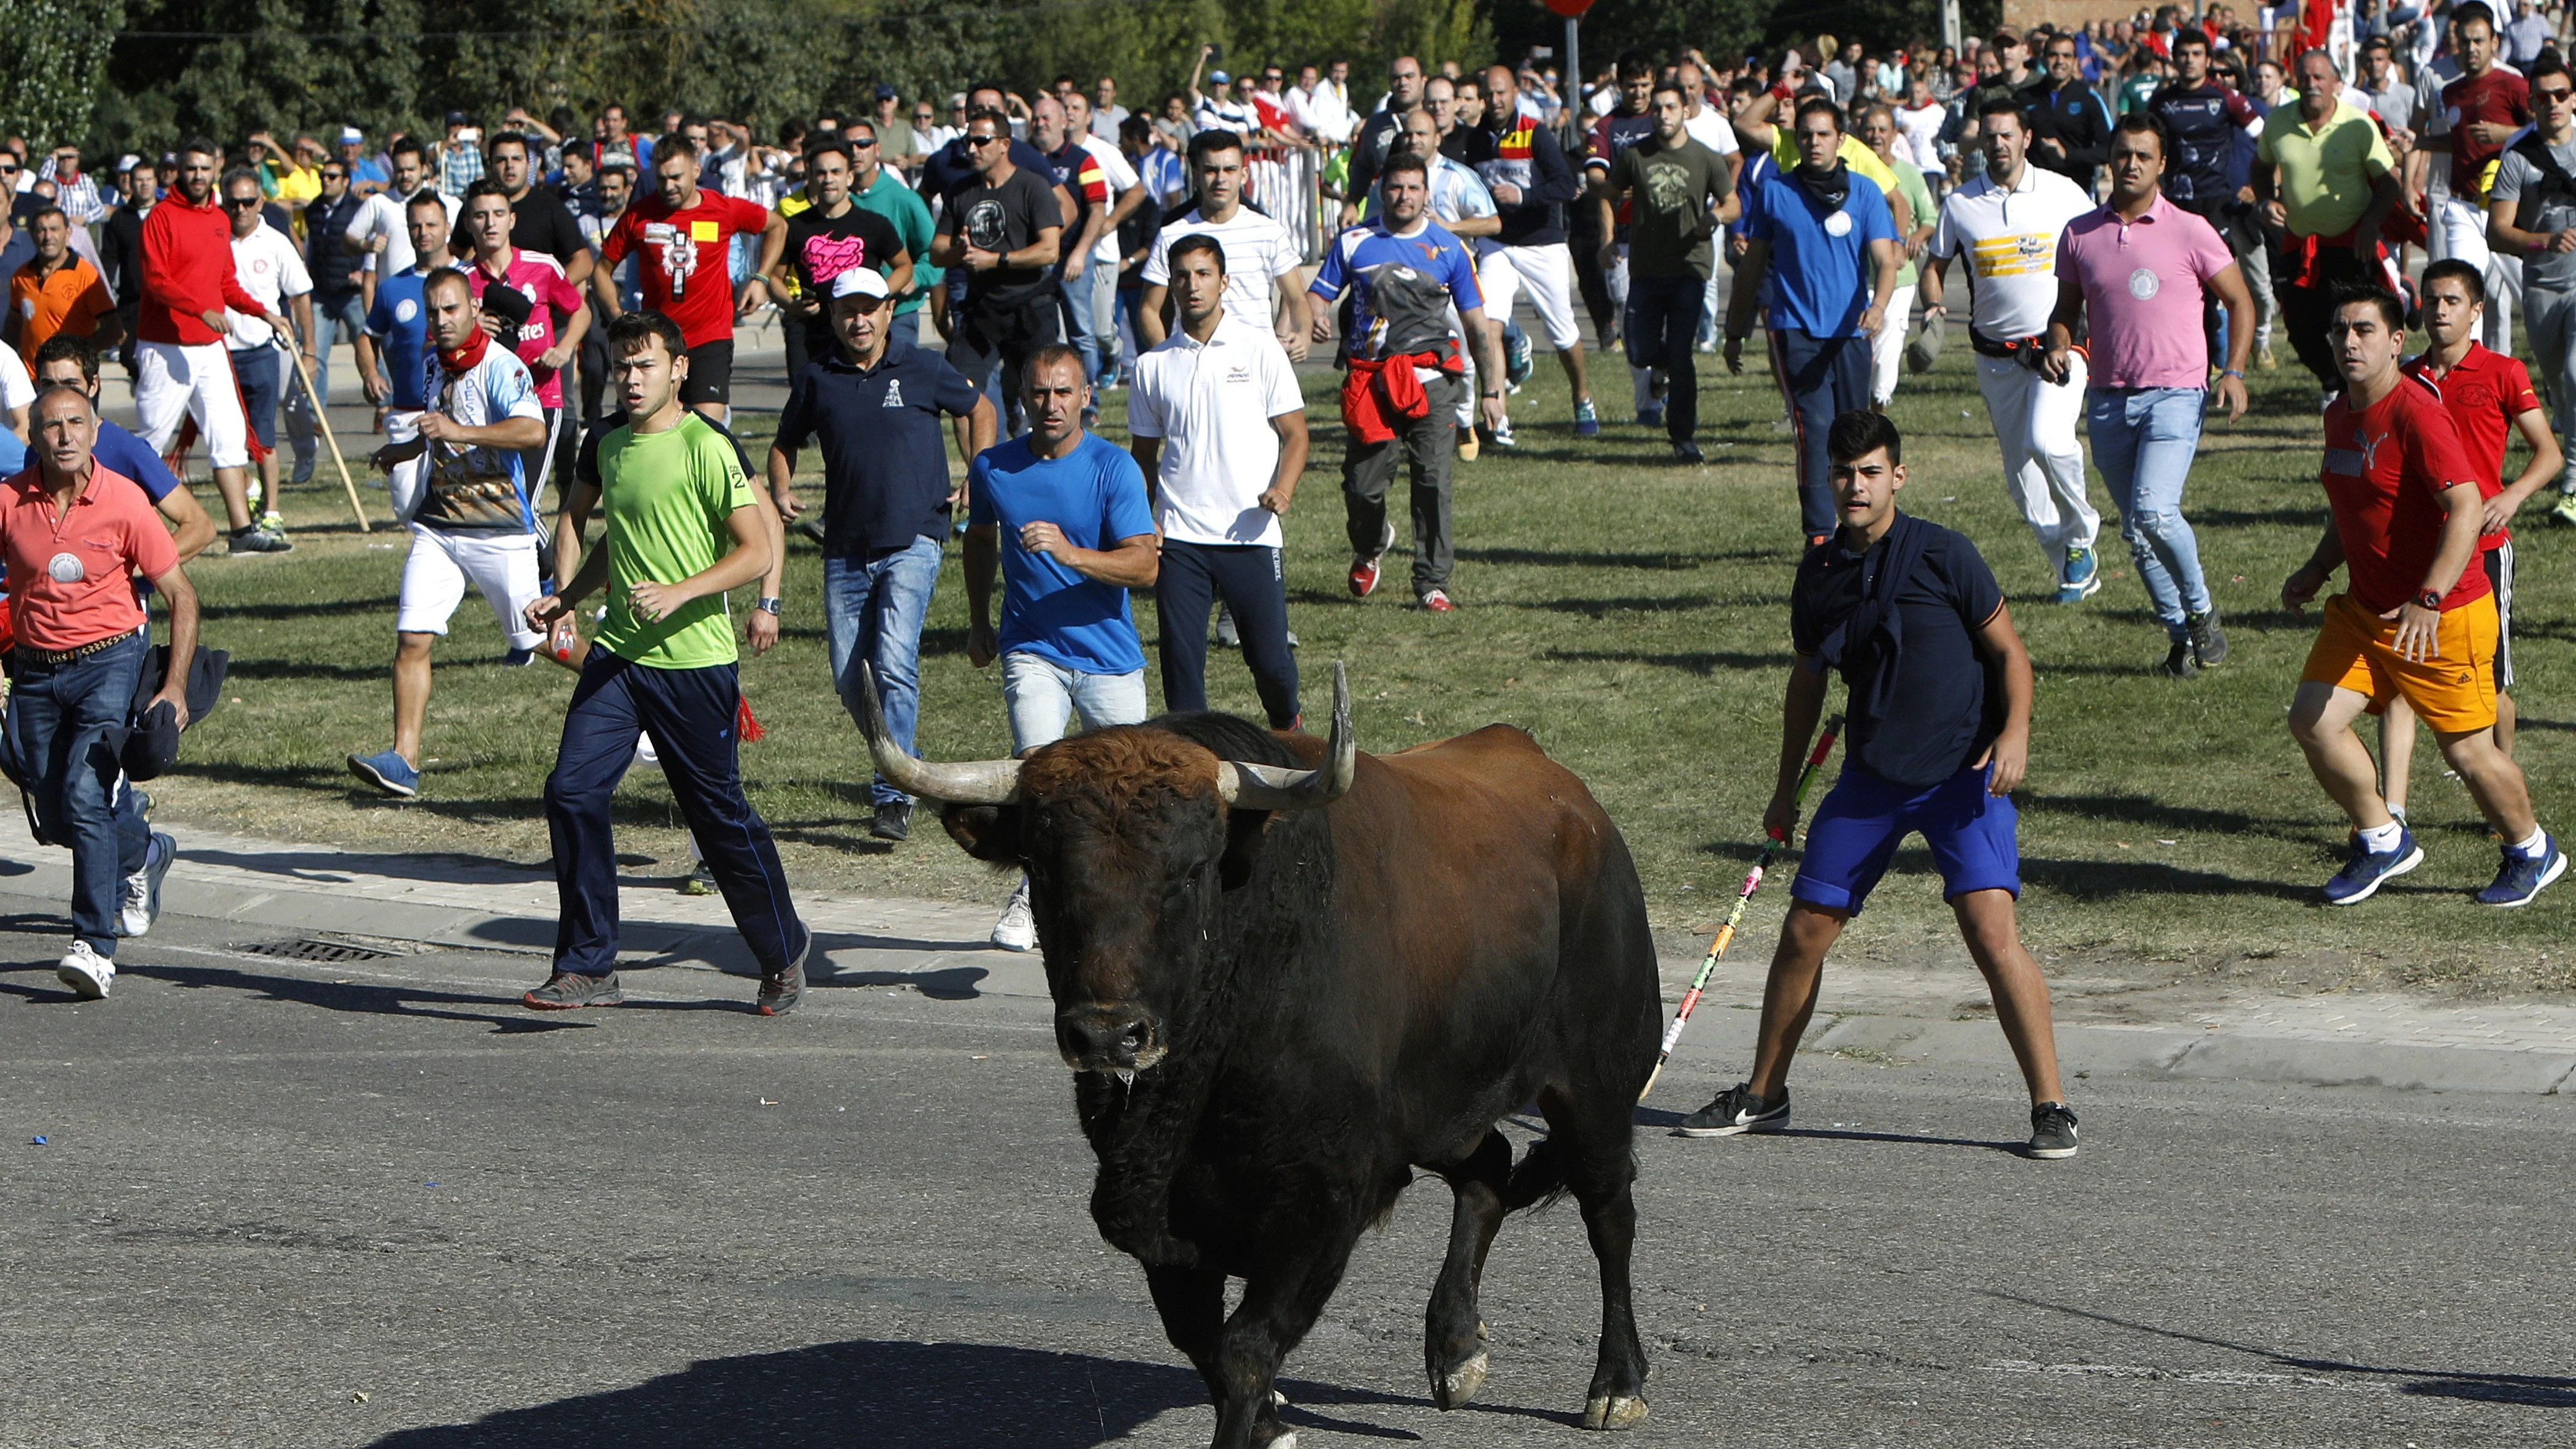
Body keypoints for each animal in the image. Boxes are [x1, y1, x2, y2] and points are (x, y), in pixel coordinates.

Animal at [855, 669, 1658, 1449]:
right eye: (1043, 867)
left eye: (1190, 869)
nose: (1109, 1035)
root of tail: (1570, 799)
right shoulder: (1163, 1220)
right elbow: (1205, 1340)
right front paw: (1273, 1418)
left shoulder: (1323, 1204)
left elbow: (1244, 1348)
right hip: (1442, 1101)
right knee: (1487, 1169)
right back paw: (1457, 1350)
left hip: (1595, 1086)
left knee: (1609, 1214)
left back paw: (1616, 1382)